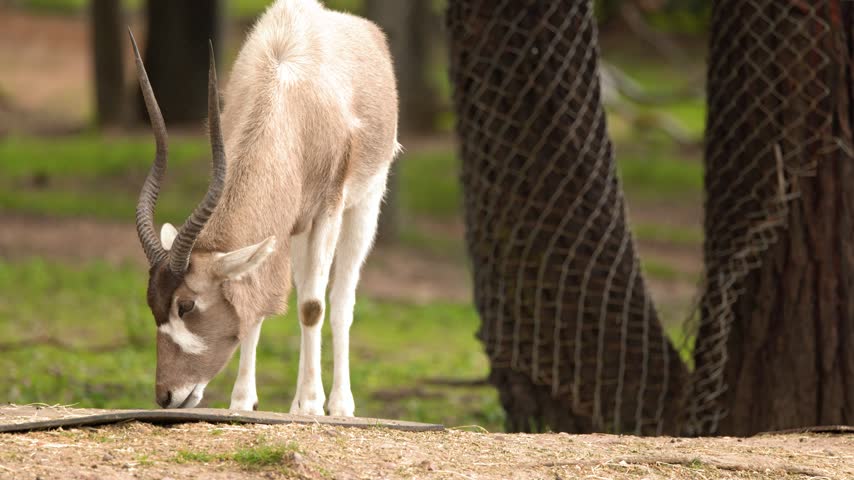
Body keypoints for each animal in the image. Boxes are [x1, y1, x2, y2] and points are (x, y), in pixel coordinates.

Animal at [131, 0, 399, 417]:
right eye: (152, 304)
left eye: (186, 305)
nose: (167, 396)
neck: (288, 91)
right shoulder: (279, 226)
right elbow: (252, 308)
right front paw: (242, 400)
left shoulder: (328, 209)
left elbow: (312, 307)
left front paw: (309, 404)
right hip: (299, 230)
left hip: (364, 204)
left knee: (339, 300)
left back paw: (337, 403)